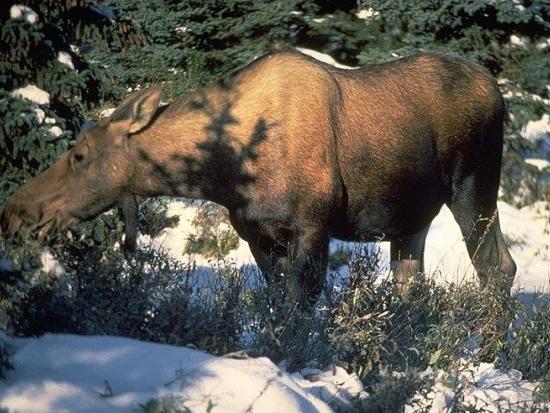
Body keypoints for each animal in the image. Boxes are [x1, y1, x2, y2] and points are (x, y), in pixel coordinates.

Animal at [1, 50, 516, 302]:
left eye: (80, 155)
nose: (15, 212)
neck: (225, 172)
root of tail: (498, 92)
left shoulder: (311, 227)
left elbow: (299, 311)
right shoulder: (256, 235)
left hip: (474, 187)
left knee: (498, 268)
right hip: (411, 219)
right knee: (412, 283)